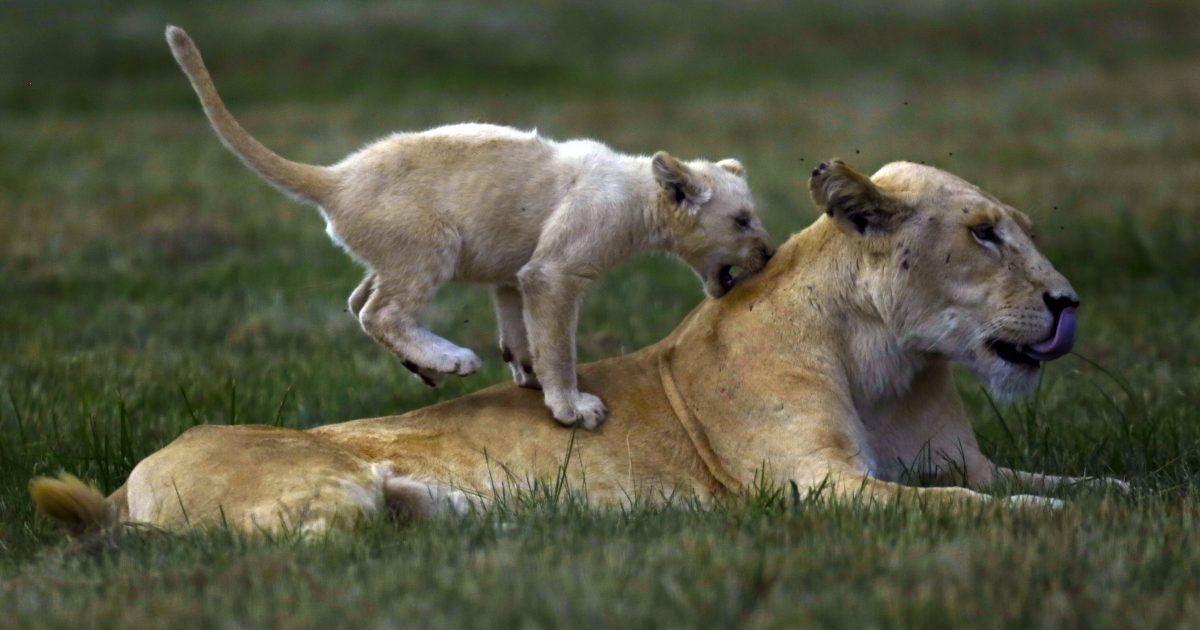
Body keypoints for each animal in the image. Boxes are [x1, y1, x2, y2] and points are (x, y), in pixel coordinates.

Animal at [31, 159, 1127, 535]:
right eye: (983, 233)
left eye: (1019, 227)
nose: (1069, 302)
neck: (893, 365)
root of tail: (129, 477)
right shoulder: (813, 490)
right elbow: (969, 506)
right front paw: (1044, 520)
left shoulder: (961, 455)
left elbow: (1092, 486)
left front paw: (1124, 498)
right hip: (329, 492)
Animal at [164, 26, 774, 428]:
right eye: (742, 220)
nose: (769, 253)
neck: (639, 196)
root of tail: (336, 176)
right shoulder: (553, 273)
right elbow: (559, 344)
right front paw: (572, 407)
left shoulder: (515, 277)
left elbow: (523, 333)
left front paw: (529, 377)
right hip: (433, 246)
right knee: (382, 311)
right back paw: (452, 359)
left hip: (396, 255)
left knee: (359, 303)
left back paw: (426, 368)